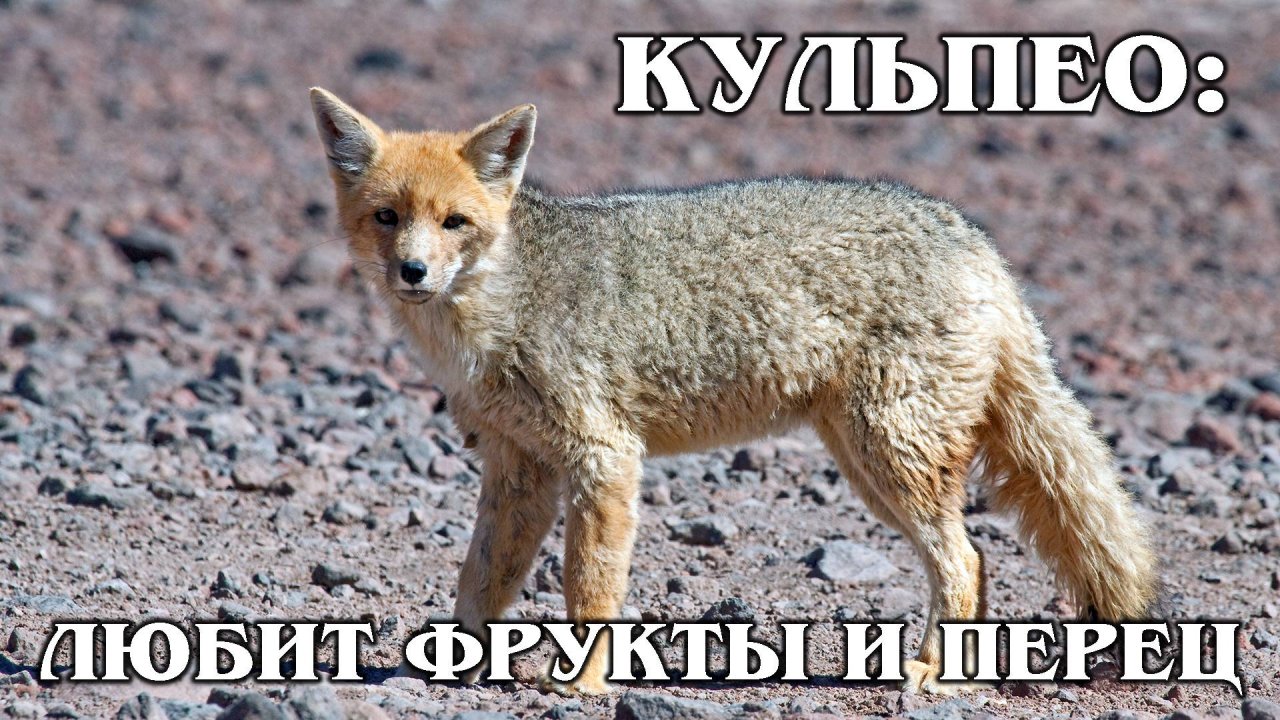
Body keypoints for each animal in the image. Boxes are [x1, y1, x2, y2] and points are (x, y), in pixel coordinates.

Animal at [308, 87, 1158, 695]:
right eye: (387, 217)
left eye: (455, 222)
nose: (413, 271)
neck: (494, 311)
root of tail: (970, 234)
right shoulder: (519, 468)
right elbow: (479, 578)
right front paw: (444, 665)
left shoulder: (604, 458)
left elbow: (589, 583)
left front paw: (582, 682)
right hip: (868, 463)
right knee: (976, 559)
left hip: (893, 459)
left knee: (967, 559)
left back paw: (933, 673)